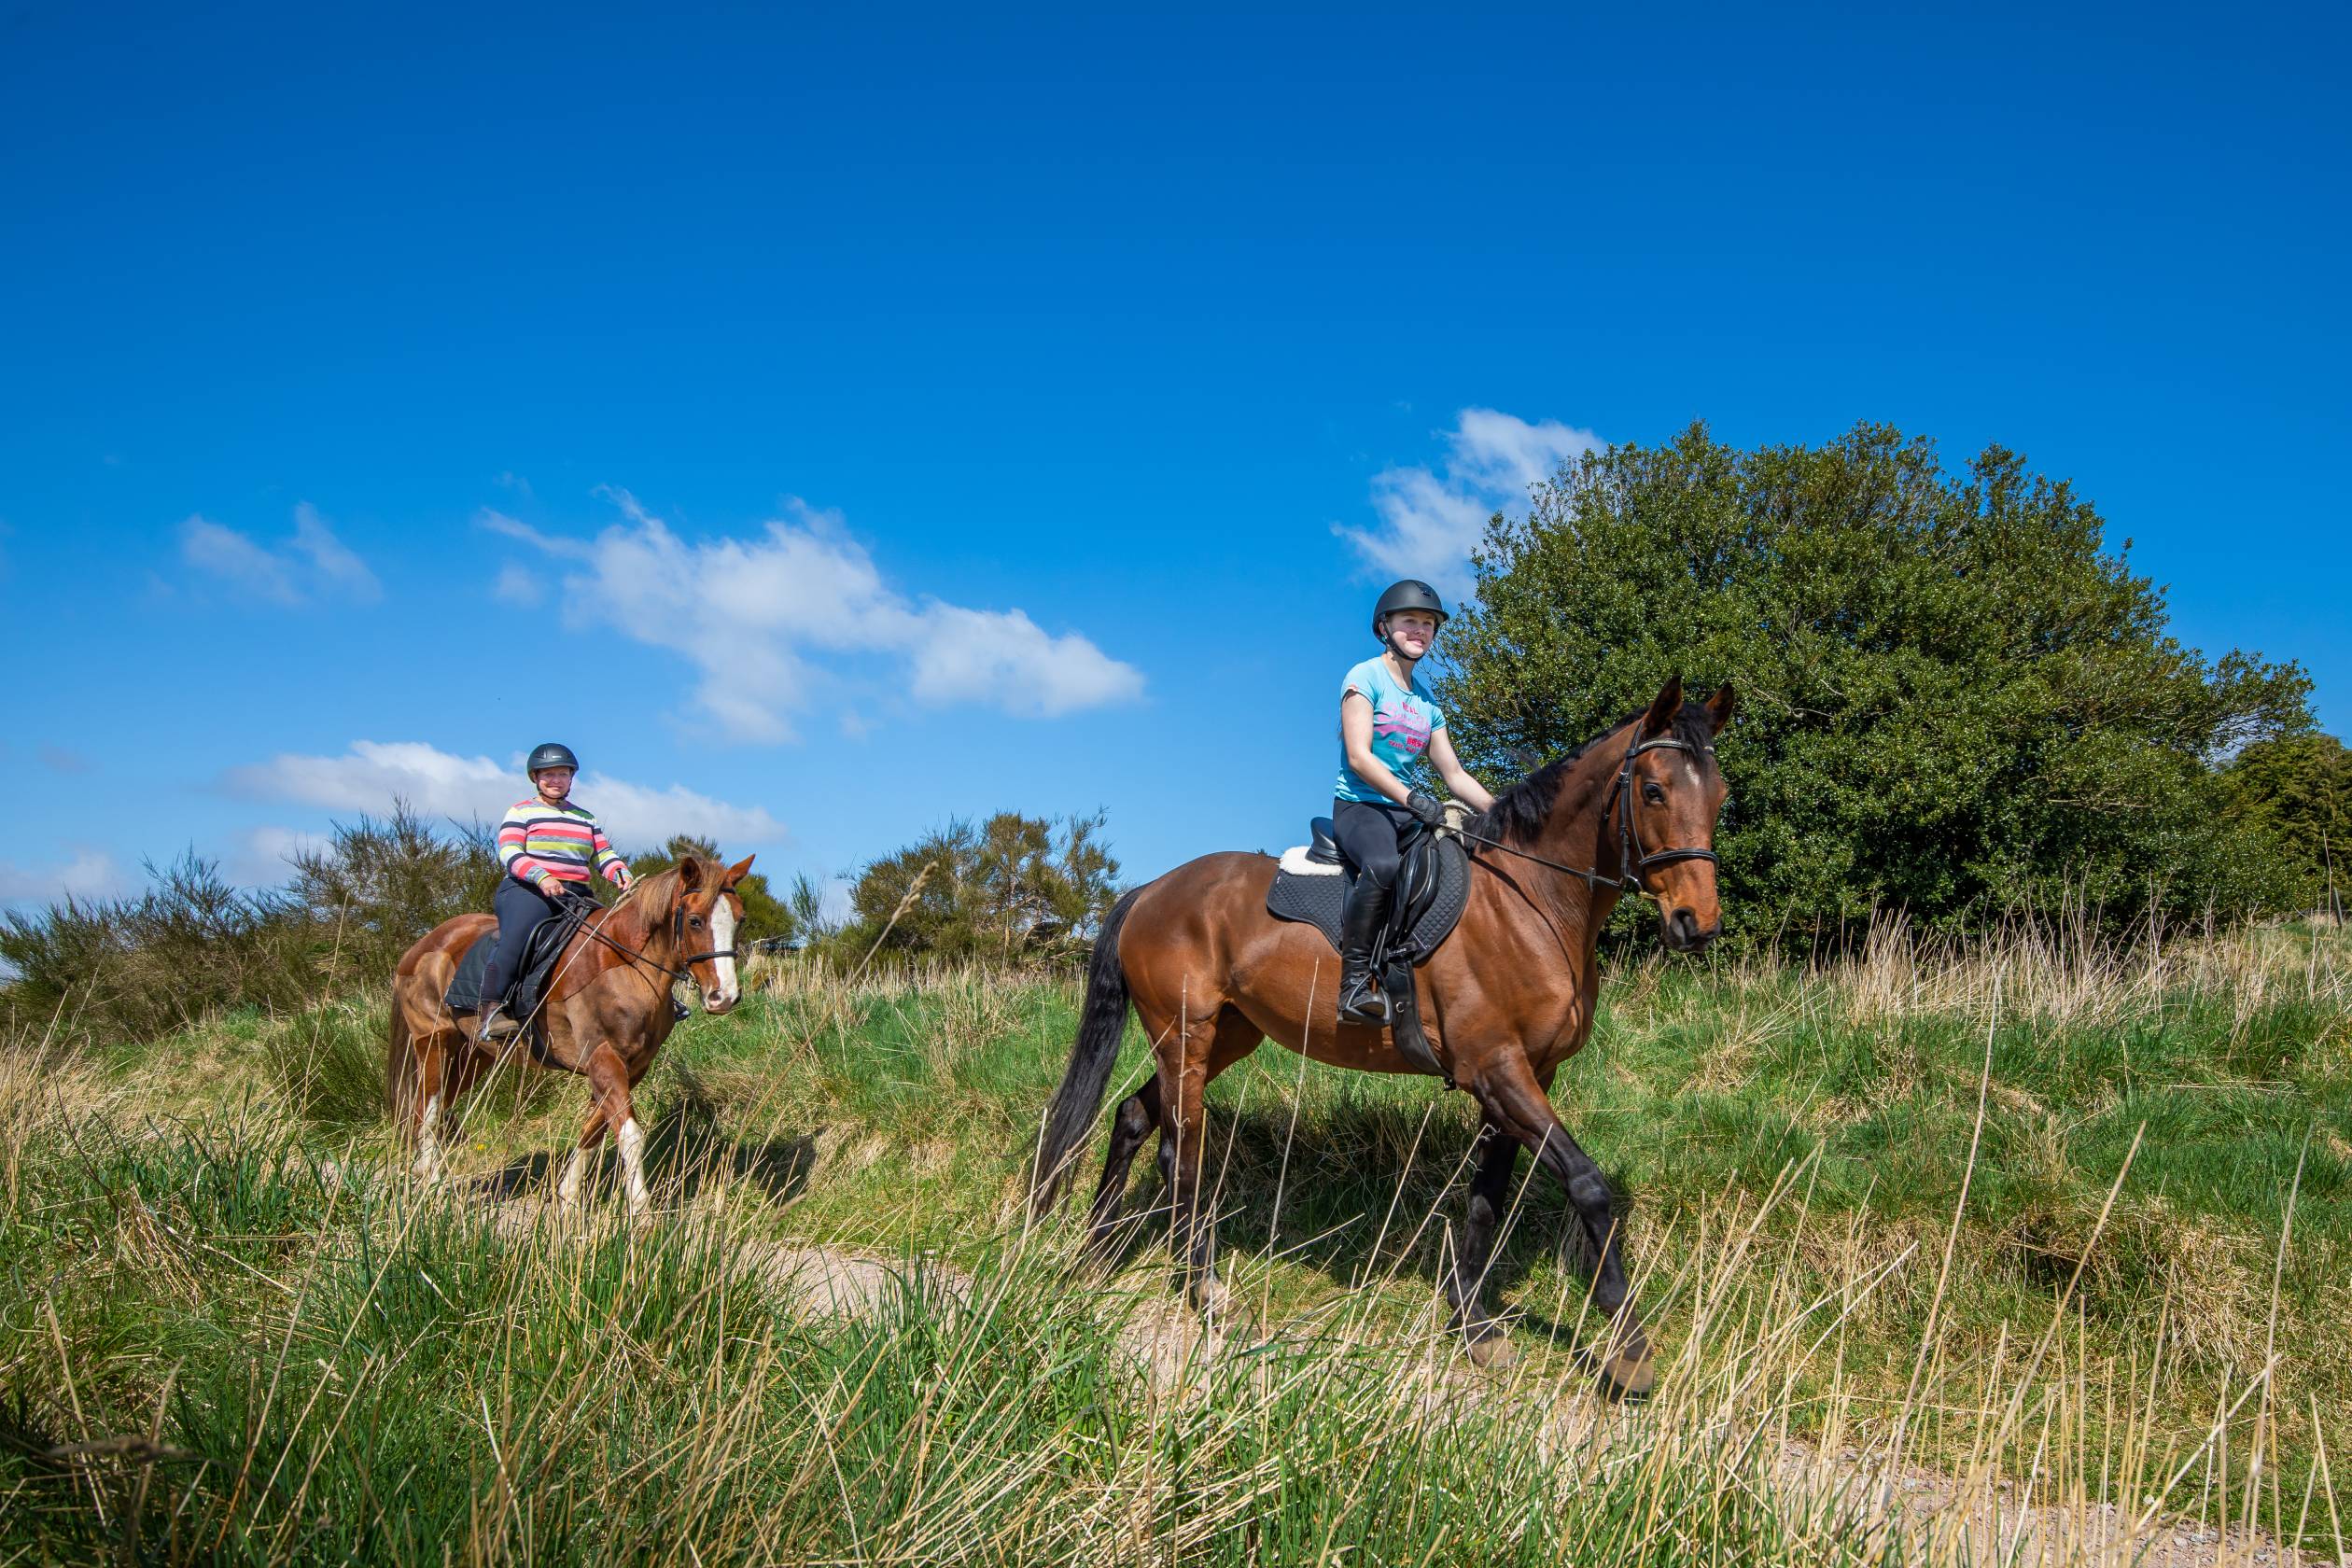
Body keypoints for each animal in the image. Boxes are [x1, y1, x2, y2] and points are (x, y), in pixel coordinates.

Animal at [386, 854, 756, 1215]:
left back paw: (425, 1175)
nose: (724, 997)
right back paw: (432, 1187)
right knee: (427, 1111)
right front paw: (641, 1211)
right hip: (434, 1043)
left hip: (471, 1057)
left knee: (438, 1109)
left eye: (740, 919)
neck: (626, 965)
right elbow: (630, 1136)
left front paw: (568, 1196)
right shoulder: (604, 1060)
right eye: (694, 921)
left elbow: (593, 1131)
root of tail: (422, 946)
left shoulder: (632, 1068)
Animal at [1030, 677, 1733, 1398]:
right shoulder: (1497, 1069)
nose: (1697, 923)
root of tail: (1152, 889)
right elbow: (1588, 1185)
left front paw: (1474, 1325)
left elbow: (1486, 1200)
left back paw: (1098, 1254)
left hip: (1227, 1036)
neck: (1529, 904)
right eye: (1654, 790)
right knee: (1183, 1152)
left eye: (1720, 794)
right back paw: (1206, 1289)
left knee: (1134, 1117)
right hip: (1184, 1034)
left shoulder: (1526, 1076)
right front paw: (1630, 1348)